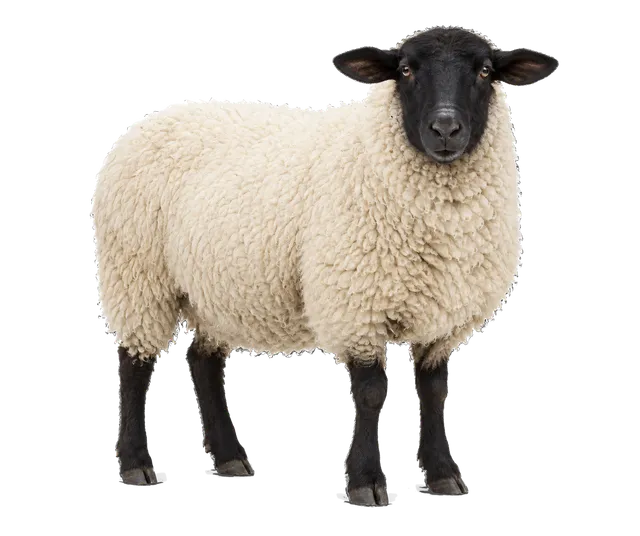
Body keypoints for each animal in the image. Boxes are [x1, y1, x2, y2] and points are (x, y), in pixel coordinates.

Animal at [93, 26, 558, 504]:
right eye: (405, 70)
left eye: (484, 71)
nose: (445, 128)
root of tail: (154, 118)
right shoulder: (355, 305)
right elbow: (370, 392)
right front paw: (366, 482)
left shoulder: (442, 320)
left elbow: (432, 391)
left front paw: (444, 473)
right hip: (137, 272)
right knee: (134, 363)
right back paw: (135, 465)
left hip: (215, 287)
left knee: (203, 361)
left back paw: (230, 458)